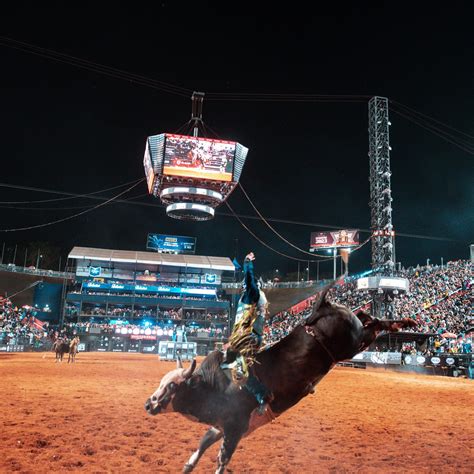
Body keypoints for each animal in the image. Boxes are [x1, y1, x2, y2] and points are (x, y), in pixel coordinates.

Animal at [143, 284, 414, 472]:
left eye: (173, 386)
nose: (148, 403)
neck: (214, 388)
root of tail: (321, 308)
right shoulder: (220, 426)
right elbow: (202, 445)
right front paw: (188, 465)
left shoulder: (235, 427)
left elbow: (221, 460)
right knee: (369, 319)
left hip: (353, 343)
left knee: (376, 325)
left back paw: (405, 322)